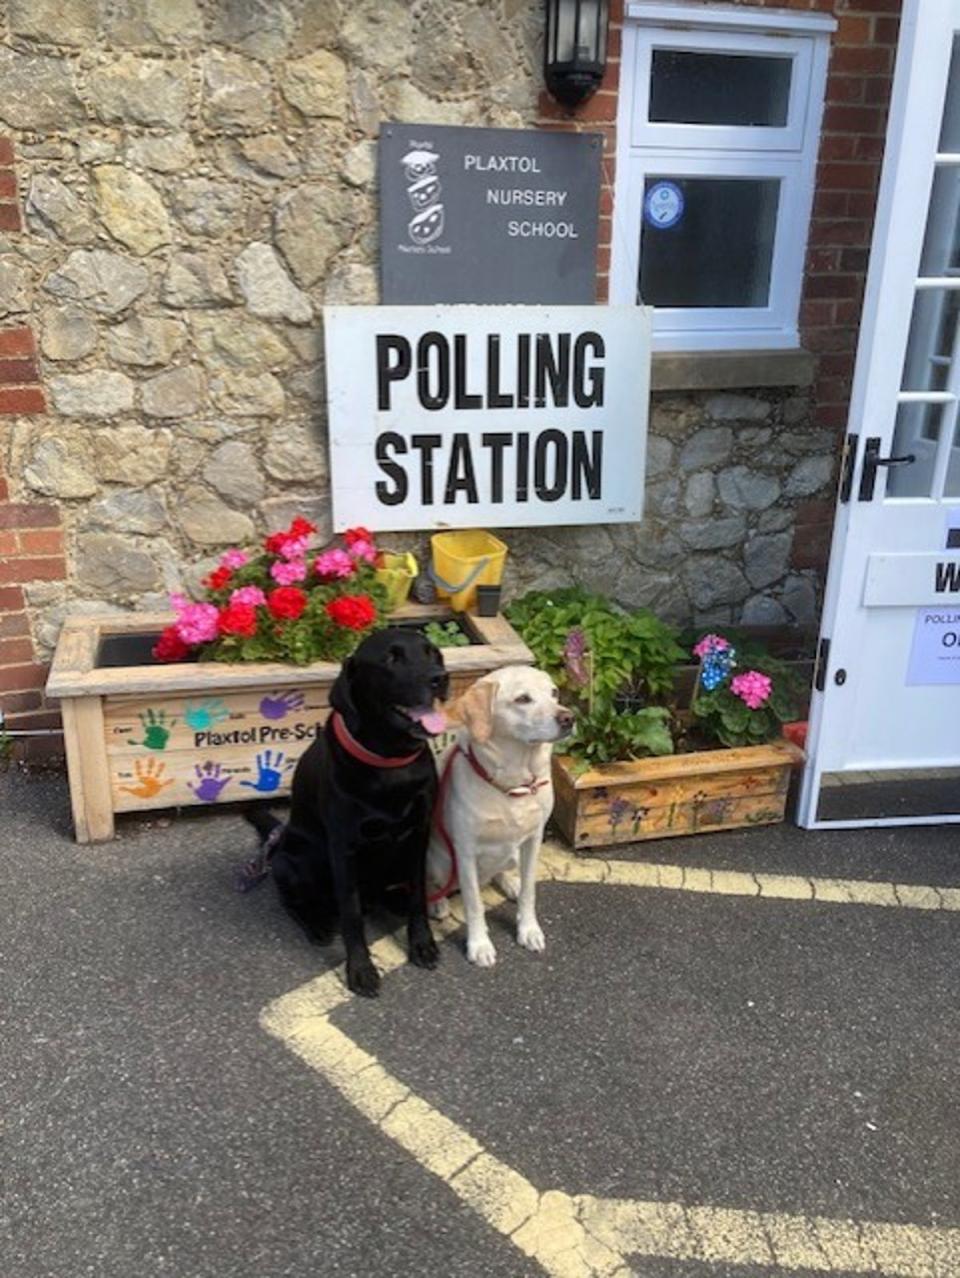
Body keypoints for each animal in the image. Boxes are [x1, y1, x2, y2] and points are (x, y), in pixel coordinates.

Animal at [247, 628, 447, 996]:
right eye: (391, 658)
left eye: (432, 653)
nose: (440, 678)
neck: (390, 763)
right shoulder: (344, 848)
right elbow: (351, 914)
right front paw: (361, 969)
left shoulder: (419, 834)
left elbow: (418, 896)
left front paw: (422, 942)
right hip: (294, 861)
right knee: (292, 901)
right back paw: (317, 924)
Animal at [429, 669, 577, 966]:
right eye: (522, 699)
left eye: (554, 692)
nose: (569, 718)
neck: (513, 785)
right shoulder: (465, 852)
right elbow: (474, 904)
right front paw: (479, 945)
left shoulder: (533, 840)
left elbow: (529, 891)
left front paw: (528, 930)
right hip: (440, 862)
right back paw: (437, 903)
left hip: (512, 854)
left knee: (501, 872)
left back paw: (509, 883)